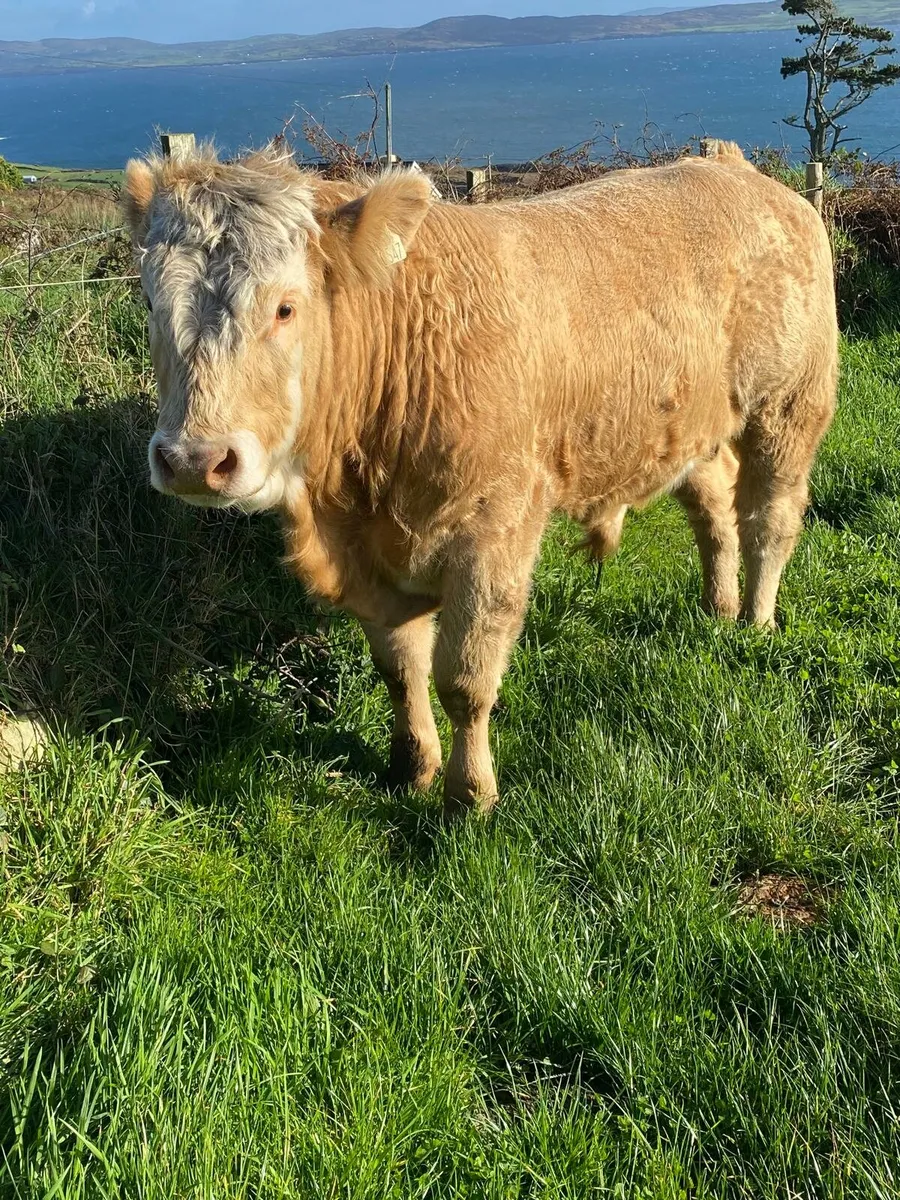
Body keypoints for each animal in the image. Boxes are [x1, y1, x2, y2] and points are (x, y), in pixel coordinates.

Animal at [123, 141, 838, 816]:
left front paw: (470, 796)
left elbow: (464, 681)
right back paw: (719, 607)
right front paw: (413, 767)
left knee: (769, 519)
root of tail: (734, 168)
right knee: (714, 509)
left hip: (790, 403)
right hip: (693, 426)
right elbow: (400, 668)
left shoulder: (493, 532)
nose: (194, 460)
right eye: (151, 301)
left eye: (285, 308)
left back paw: (756, 621)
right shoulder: (373, 560)